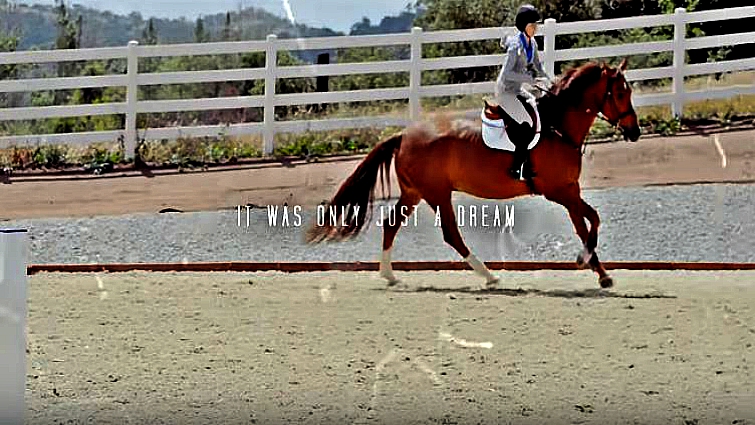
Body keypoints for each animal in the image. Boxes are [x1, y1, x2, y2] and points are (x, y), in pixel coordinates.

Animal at [305, 58, 641, 290]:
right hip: (437, 194)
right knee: (451, 234)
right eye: (619, 93)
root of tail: (404, 135)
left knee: (391, 224)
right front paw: (590, 265)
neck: (558, 126)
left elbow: (588, 223)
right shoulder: (559, 191)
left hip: (415, 193)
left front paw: (597, 271)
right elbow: (589, 223)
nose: (635, 132)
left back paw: (389, 275)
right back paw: (488, 275)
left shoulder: (571, 190)